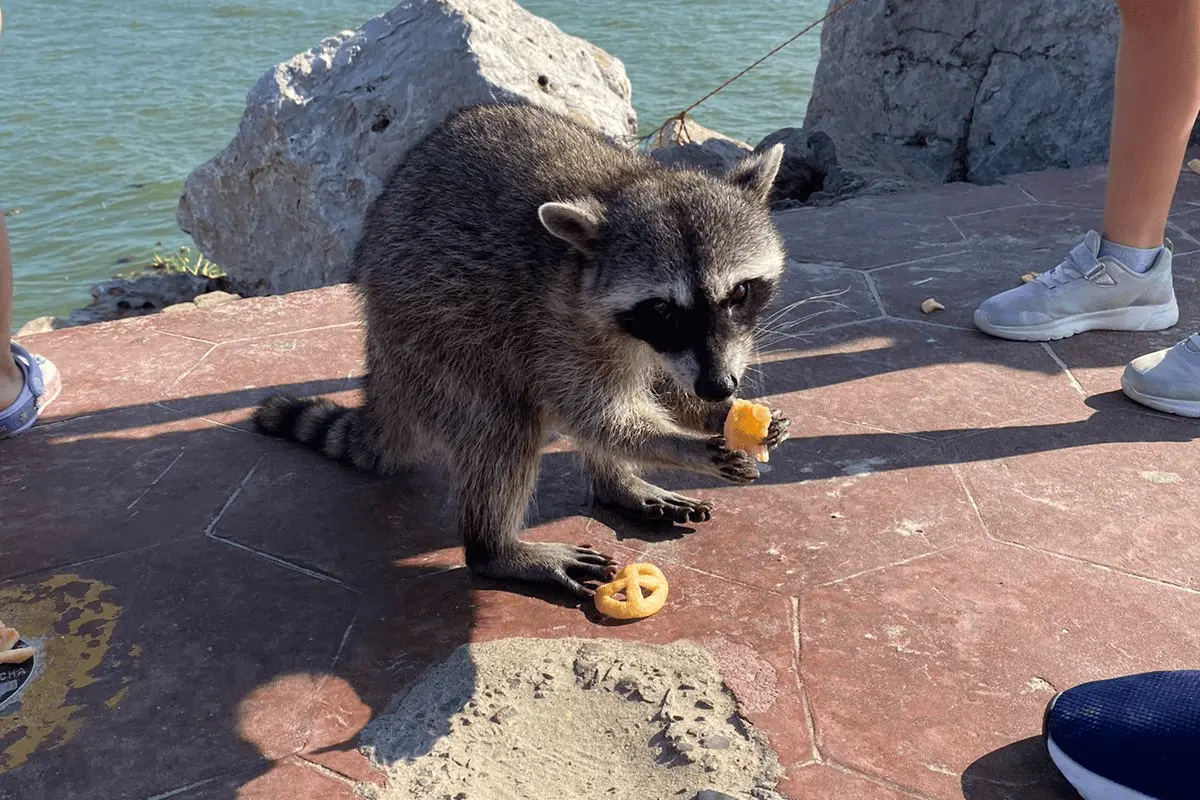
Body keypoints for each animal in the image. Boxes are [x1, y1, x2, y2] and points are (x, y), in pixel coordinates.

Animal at [258, 103, 792, 597]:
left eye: (739, 293)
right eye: (662, 309)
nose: (718, 386)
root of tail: (381, 366)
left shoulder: (662, 350)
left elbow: (662, 386)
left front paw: (714, 412)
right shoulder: (553, 327)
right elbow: (598, 418)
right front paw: (683, 443)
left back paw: (615, 483)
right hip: (431, 338)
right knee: (501, 427)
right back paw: (496, 548)